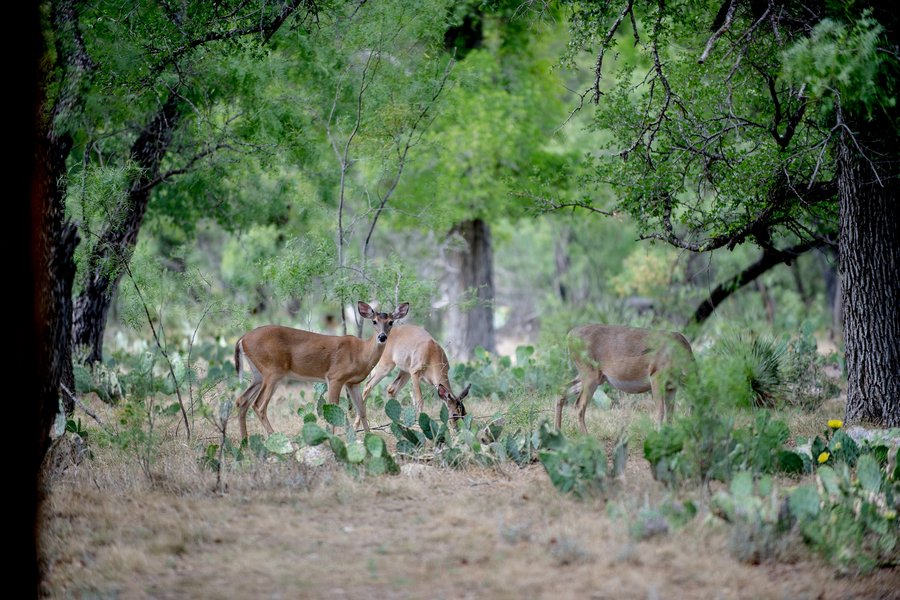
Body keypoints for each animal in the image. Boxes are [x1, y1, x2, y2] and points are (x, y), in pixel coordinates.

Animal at [233, 301, 409, 440]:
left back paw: (245, 442)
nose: (382, 337)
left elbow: (362, 410)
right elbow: (333, 408)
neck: (361, 353)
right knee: (259, 405)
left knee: (242, 400)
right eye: (374, 321)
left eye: (391, 322)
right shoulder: (335, 377)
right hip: (273, 371)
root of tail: (242, 339)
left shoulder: (353, 383)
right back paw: (275, 437)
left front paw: (369, 437)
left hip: (258, 374)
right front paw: (332, 439)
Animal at [556, 324, 694, 433]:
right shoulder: (657, 376)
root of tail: (569, 335)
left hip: (596, 377)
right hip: (589, 373)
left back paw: (558, 431)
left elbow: (670, 414)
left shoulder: (672, 386)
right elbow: (660, 411)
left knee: (562, 390)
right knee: (579, 405)